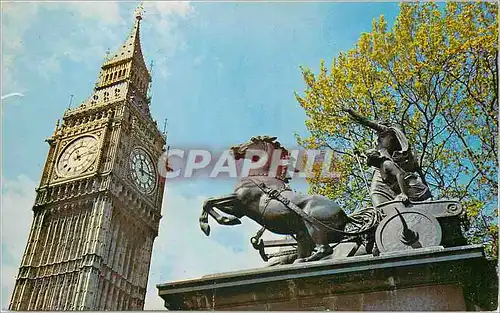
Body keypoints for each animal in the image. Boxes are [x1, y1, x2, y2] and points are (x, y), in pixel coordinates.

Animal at [197, 135, 350, 262]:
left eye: (252, 141)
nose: (233, 148)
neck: (260, 178)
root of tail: (345, 216)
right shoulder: (239, 209)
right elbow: (212, 204)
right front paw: (229, 220)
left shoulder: (239, 198)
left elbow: (208, 201)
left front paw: (206, 226)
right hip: (303, 234)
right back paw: (300, 260)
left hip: (314, 226)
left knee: (325, 249)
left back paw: (305, 260)